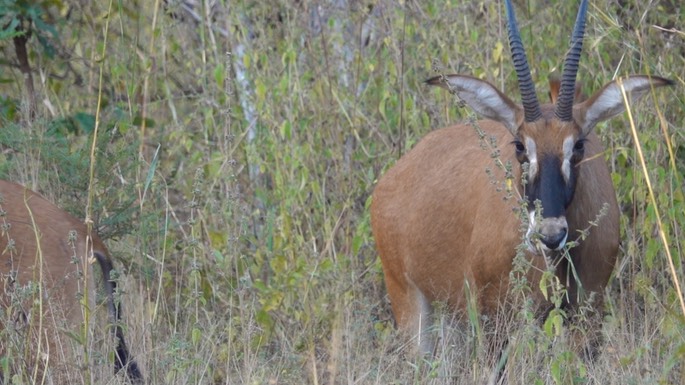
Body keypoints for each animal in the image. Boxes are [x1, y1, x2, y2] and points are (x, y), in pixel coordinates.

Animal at [372, 0, 672, 356]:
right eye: (519, 145)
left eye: (578, 144)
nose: (550, 234)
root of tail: (393, 177)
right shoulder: (495, 318)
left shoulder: (588, 311)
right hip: (410, 303)